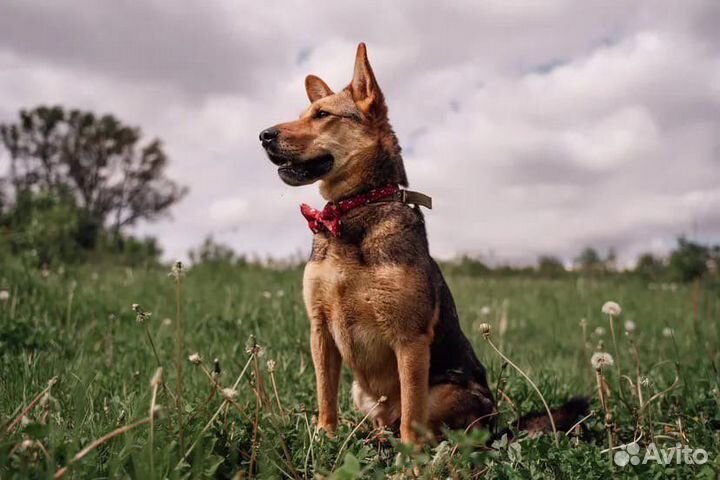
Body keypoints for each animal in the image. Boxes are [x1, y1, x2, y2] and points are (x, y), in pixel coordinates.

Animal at [258, 43, 584, 444]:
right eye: (304, 113)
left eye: (322, 115)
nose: (263, 135)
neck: (356, 212)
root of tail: (499, 425)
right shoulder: (320, 329)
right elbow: (325, 394)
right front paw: (324, 437)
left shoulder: (409, 339)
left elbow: (411, 412)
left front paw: (407, 458)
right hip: (363, 394)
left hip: (445, 393)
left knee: (431, 426)